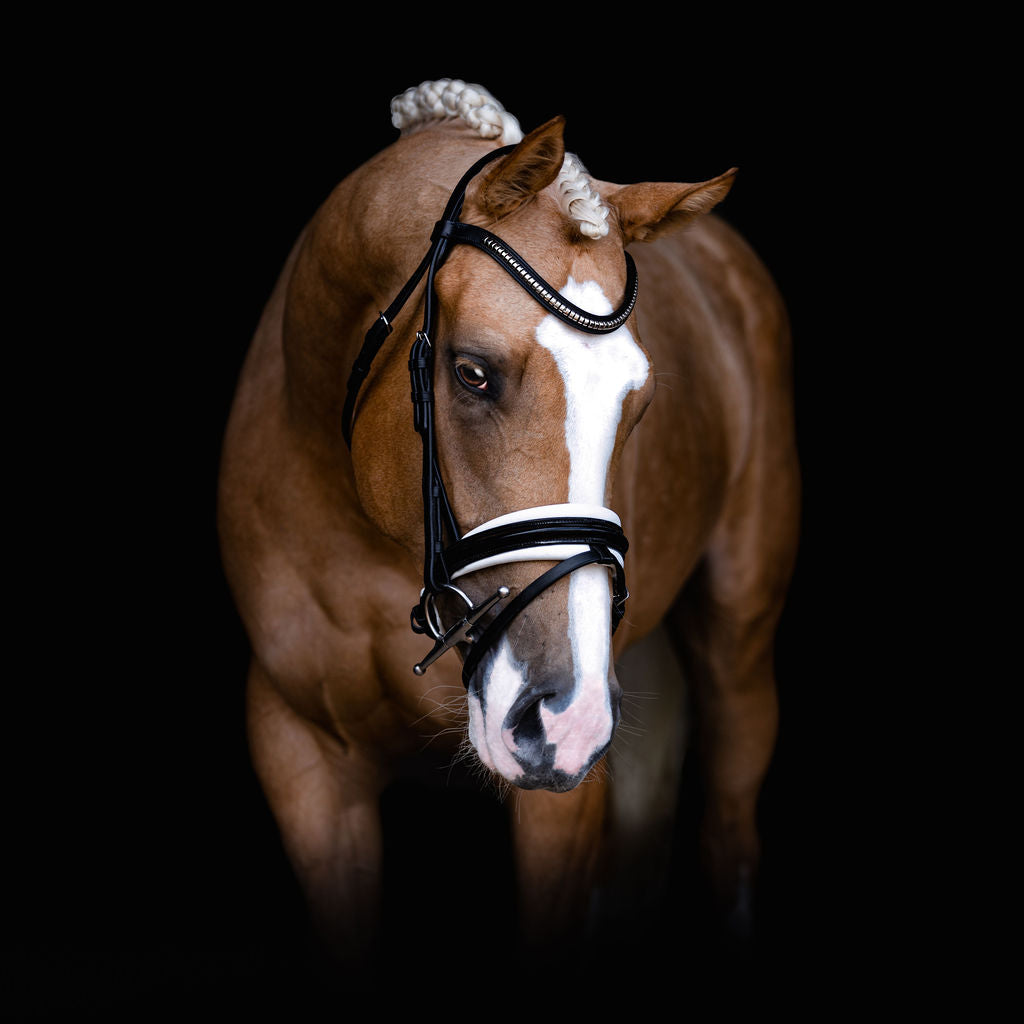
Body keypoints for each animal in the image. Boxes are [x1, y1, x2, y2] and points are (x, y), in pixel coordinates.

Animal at [218, 79, 799, 975]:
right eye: (473, 373)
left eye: (638, 402)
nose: (567, 718)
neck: (362, 533)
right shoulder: (301, 759)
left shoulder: (559, 801)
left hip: (738, 648)